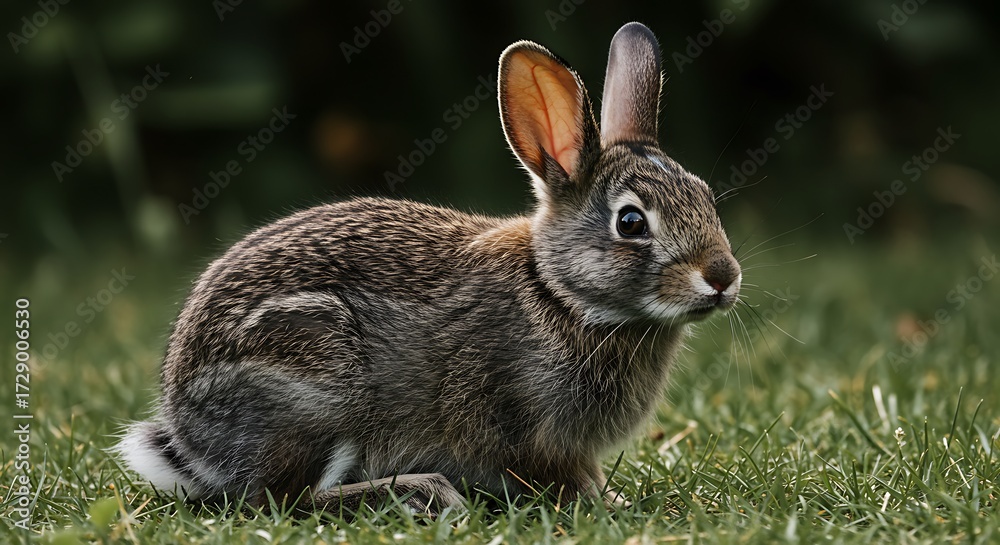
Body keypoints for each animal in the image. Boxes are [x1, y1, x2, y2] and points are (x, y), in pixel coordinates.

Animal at [114, 21, 741, 515]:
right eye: (631, 222)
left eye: (706, 197)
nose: (723, 277)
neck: (560, 293)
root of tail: (189, 438)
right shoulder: (527, 430)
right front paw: (605, 504)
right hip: (315, 382)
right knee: (284, 498)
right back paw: (424, 492)